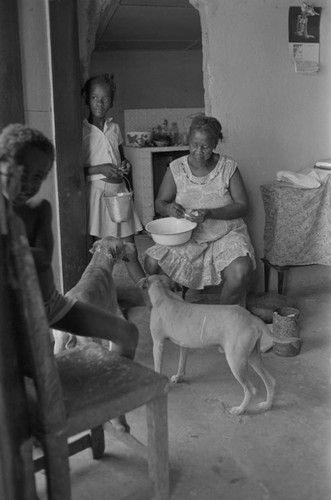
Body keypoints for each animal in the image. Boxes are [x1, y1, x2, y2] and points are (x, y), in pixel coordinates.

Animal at [144, 274, 300, 414]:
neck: (164, 295)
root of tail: (251, 317)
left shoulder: (158, 345)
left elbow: (158, 366)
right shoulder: (184, 345)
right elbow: (181, 364)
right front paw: (178, 377)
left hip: (235, 361)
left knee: (250, 390)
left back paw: (240, 410)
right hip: (252, 357)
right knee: (271, 381)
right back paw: (267, 405)